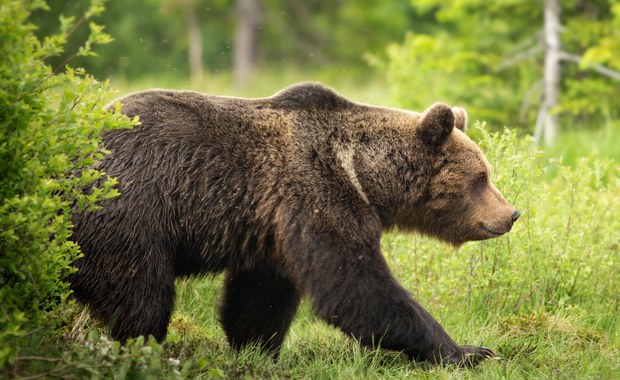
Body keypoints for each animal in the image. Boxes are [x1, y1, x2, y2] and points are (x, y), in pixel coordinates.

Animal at [70, 82, 520, 366]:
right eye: (481, 177)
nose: (511, 214)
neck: (363, 174)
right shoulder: (317, 194)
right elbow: (354, 285)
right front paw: (468, 351)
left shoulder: (273, 227)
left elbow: (260, 296)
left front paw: (257, 349)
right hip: (126, 215)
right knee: (141, 297)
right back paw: (142, 349)